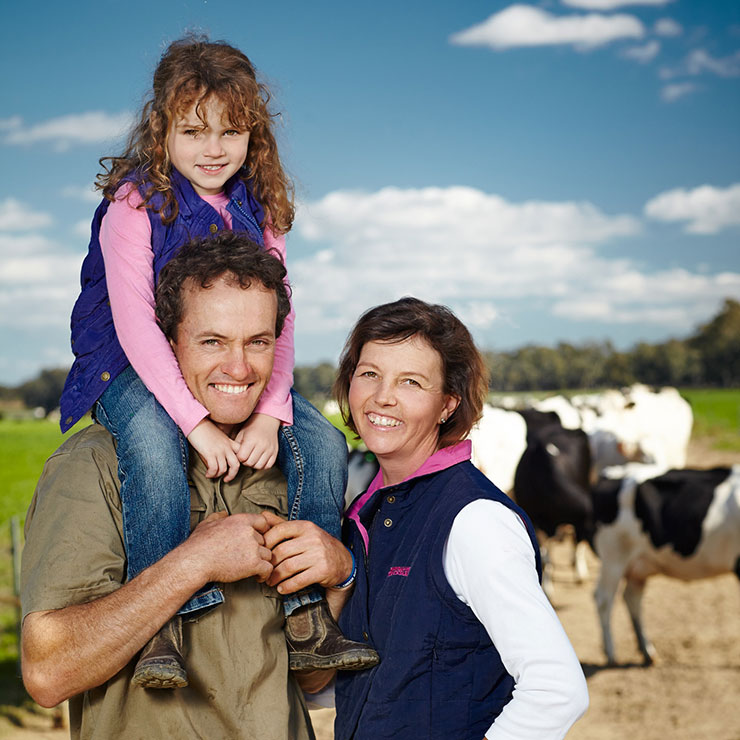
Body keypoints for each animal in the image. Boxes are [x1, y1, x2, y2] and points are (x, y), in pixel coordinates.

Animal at [588, 462, 740, 664]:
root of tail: (612, 472)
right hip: (613, 557)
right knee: (604, 599)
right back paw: (611, 653)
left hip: (637, 564)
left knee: (632, 598)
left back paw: (647, 651)